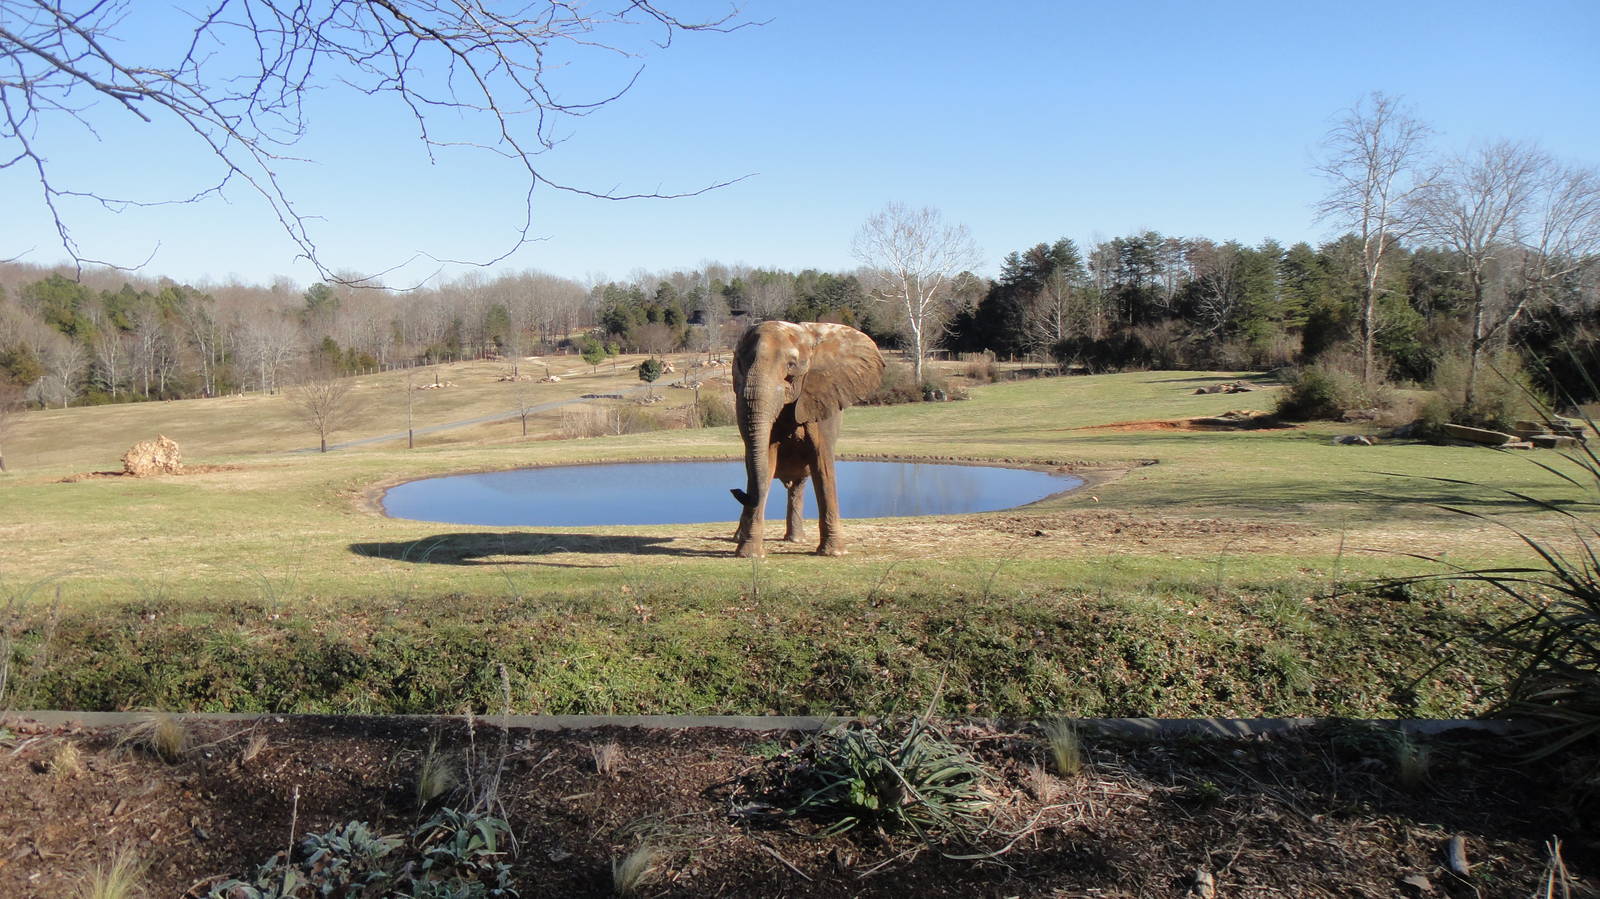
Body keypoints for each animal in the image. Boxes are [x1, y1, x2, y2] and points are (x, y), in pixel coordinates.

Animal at [730, 320, 884, 557]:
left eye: (791, 367)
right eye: (740, 363)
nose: (735, 490)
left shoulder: (822, 401)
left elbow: (822, 462)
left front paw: (833, 553)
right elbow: (767, 460)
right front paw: (750, 555)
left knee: (797, 486)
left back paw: (795, 540)